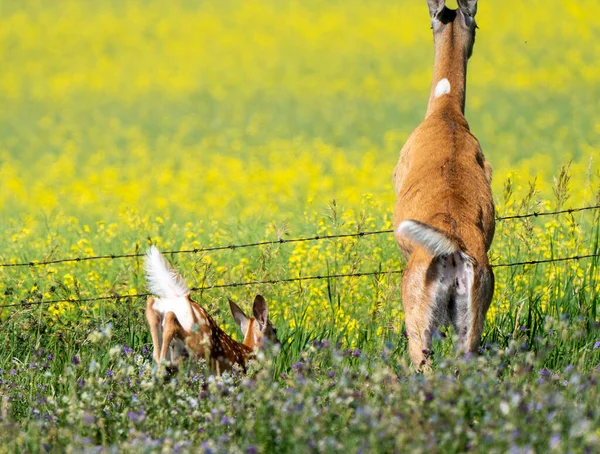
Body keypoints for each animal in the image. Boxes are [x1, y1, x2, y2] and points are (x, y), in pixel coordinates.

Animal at [145, 247, 278, 374]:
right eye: (275, 330)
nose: (279, 344)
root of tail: (182, 297)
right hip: (198, 341)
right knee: (171, 320)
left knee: (152, 307)